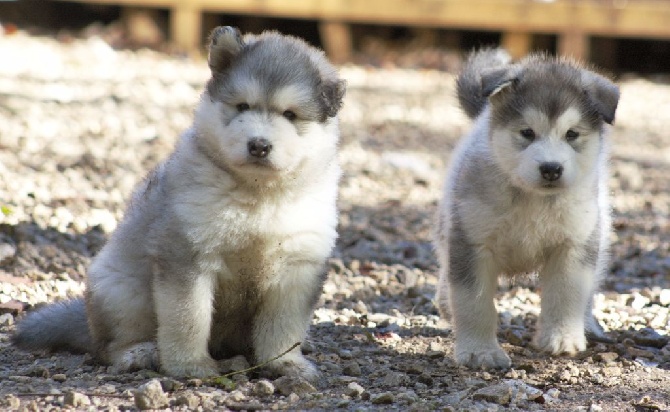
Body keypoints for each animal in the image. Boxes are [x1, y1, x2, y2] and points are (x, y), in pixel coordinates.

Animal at [13, 25, 350, 382]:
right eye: (242, 106)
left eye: (290, 115)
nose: (258, 145)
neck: (258, 194)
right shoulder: (188, 256)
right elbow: (188, 318)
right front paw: (190, 366)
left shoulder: (297, 268)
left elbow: (284, 327)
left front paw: (285, 363)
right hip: (122, 291)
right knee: (109, 345)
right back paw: (139, 352)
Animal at [436, 49, 620, 370]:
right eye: (527, 132)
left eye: (572, 134)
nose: (551, 168)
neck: (533, 200)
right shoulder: (471, 243)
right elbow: (473, 302)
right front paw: (480, 351)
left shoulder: (573, 245)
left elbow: (567, 294)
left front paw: (562, 338)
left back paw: (586, 324)